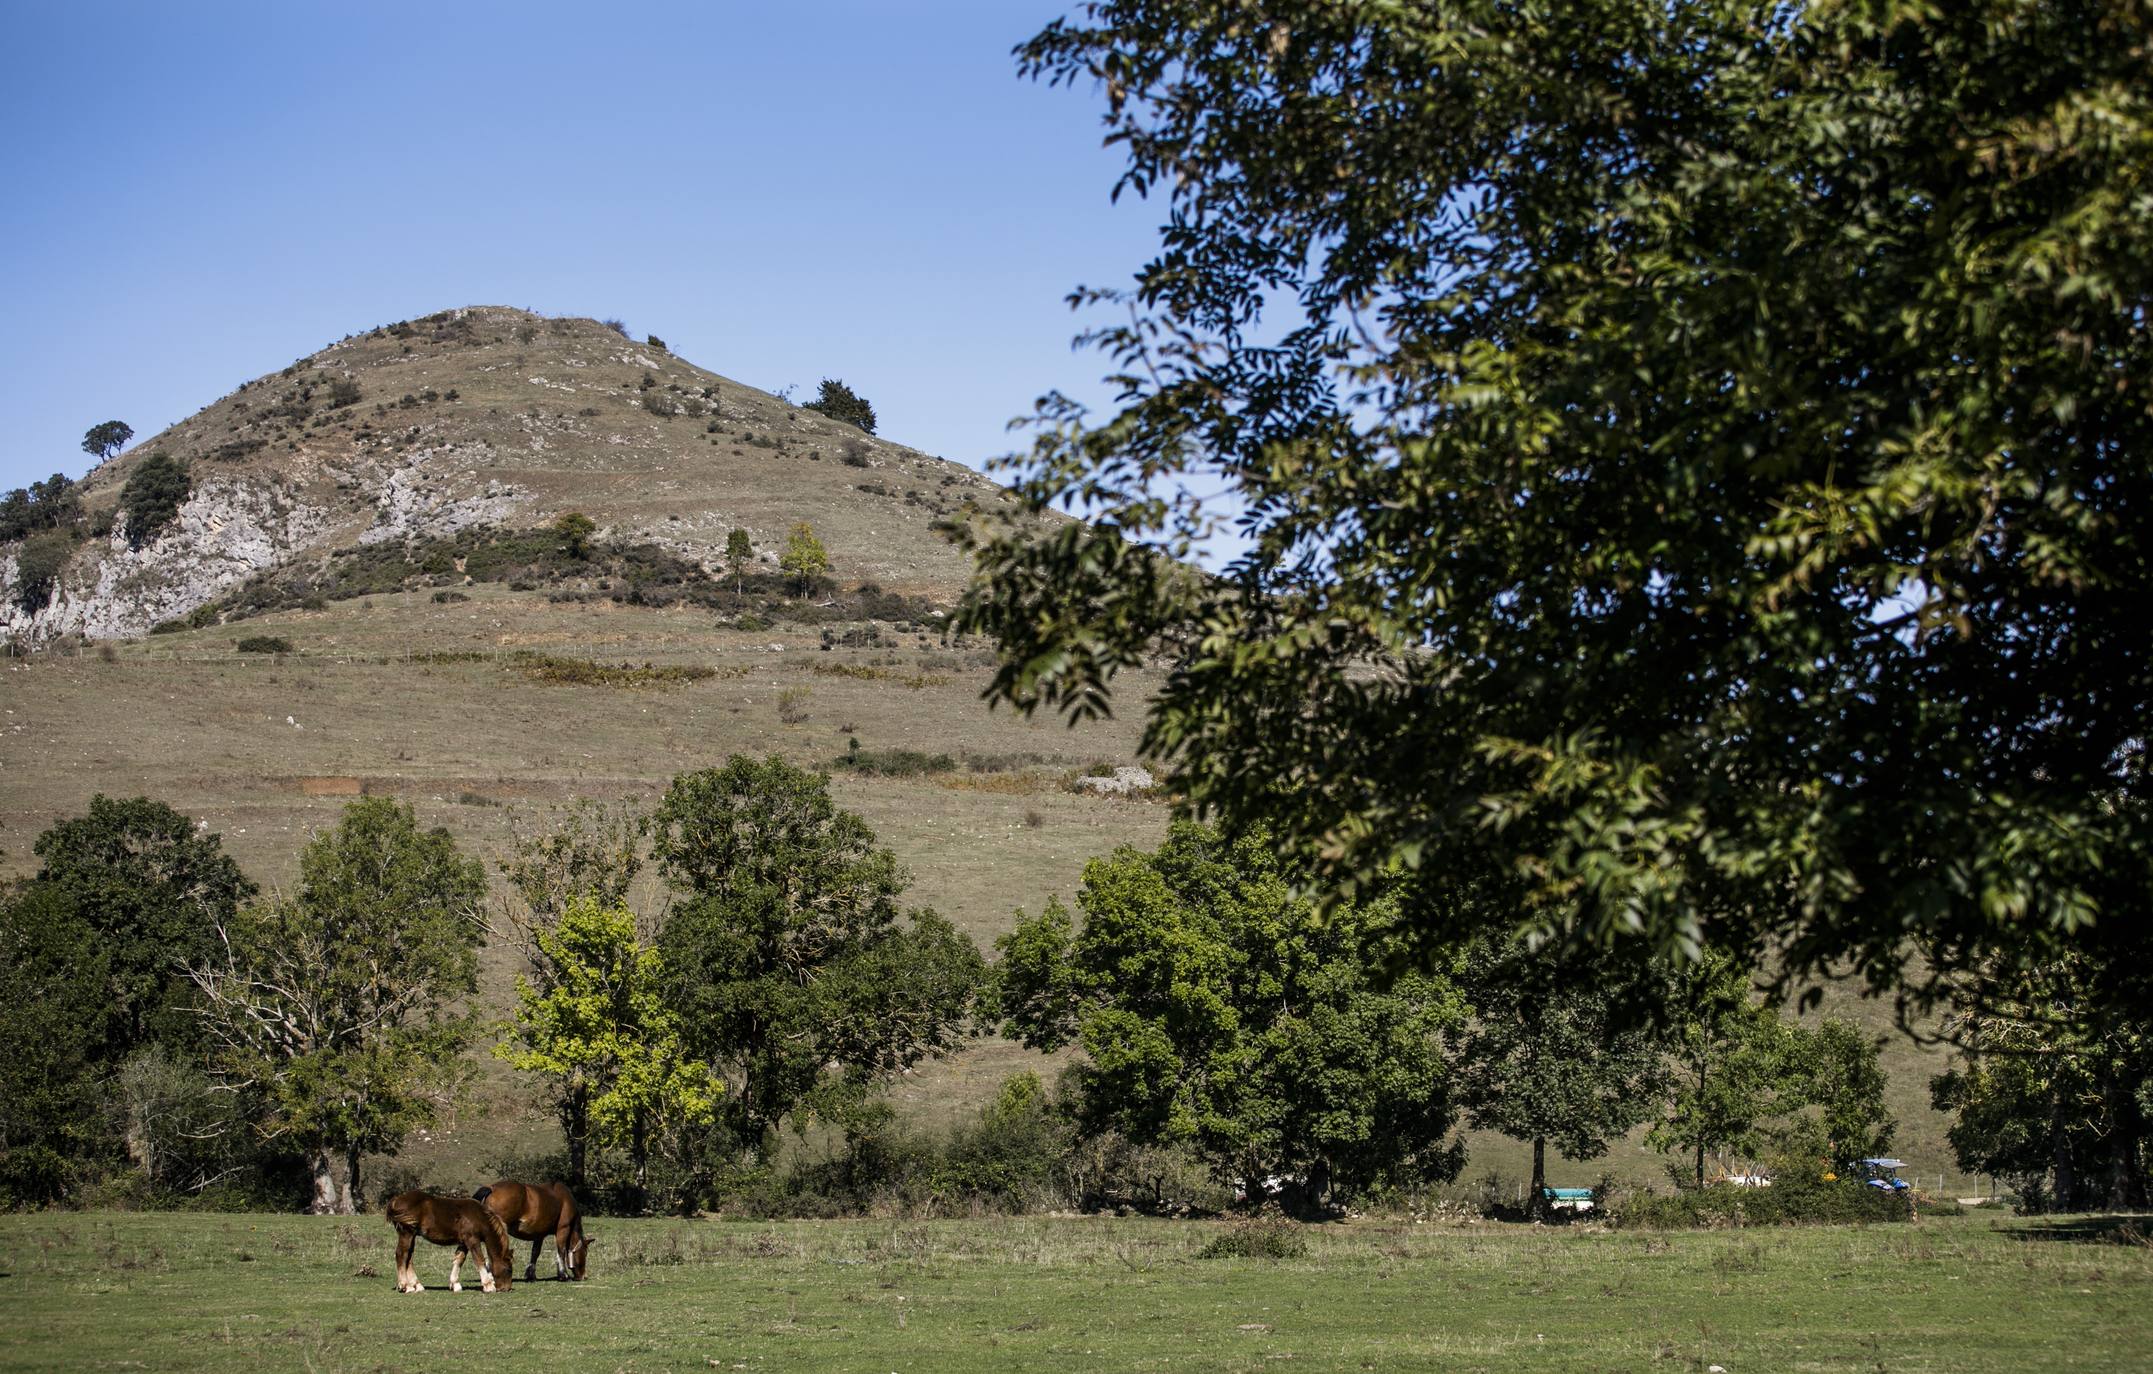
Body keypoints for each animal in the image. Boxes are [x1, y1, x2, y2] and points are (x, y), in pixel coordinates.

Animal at [385, 1188, 514, 1300]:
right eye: (509, 1269)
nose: (506, 1289)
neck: (478, 1217)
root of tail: (396, 1199)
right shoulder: (472, 1241)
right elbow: (479, 1260)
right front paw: (488, 1286)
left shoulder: (463, 1243)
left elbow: (459, 1260)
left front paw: (455, 1284)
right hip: (406, 1233)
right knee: (401, 1254)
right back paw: (405, 1286)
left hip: (412, 1235)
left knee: (409, 1257)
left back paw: (416, 1285)